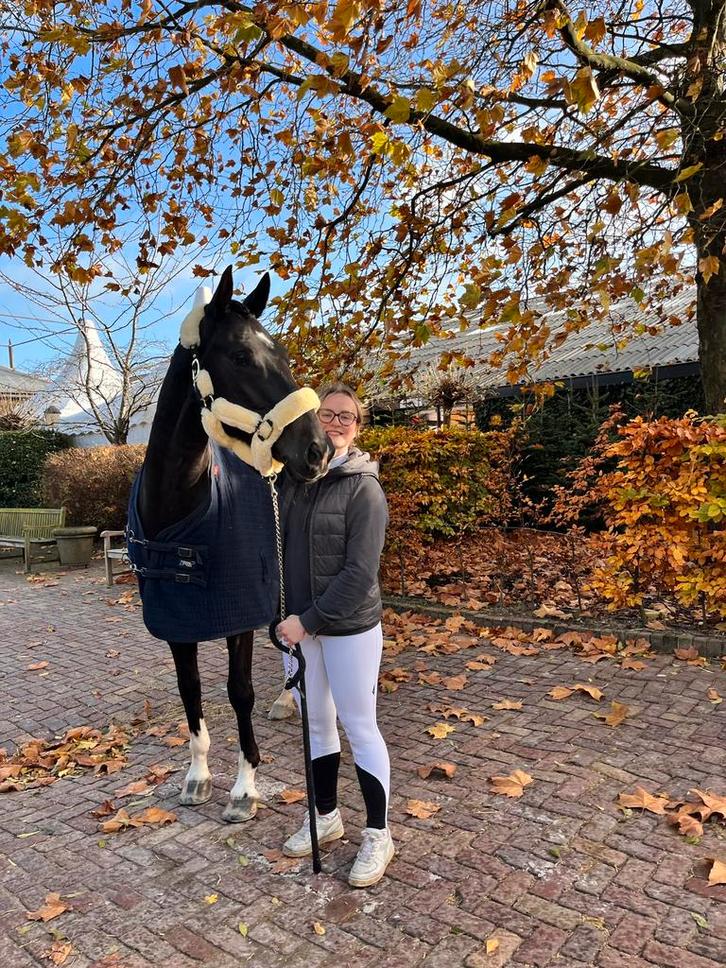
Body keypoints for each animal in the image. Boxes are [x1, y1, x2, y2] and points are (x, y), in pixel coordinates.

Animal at [132, 266, 331, 822]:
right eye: (241, 356)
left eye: (282, 353)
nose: (317, 449)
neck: (180, 507)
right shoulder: (178, 620)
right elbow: (191, 691)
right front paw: (197, 775)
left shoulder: (237, 615)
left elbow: (238, 692)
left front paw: (245, 788)